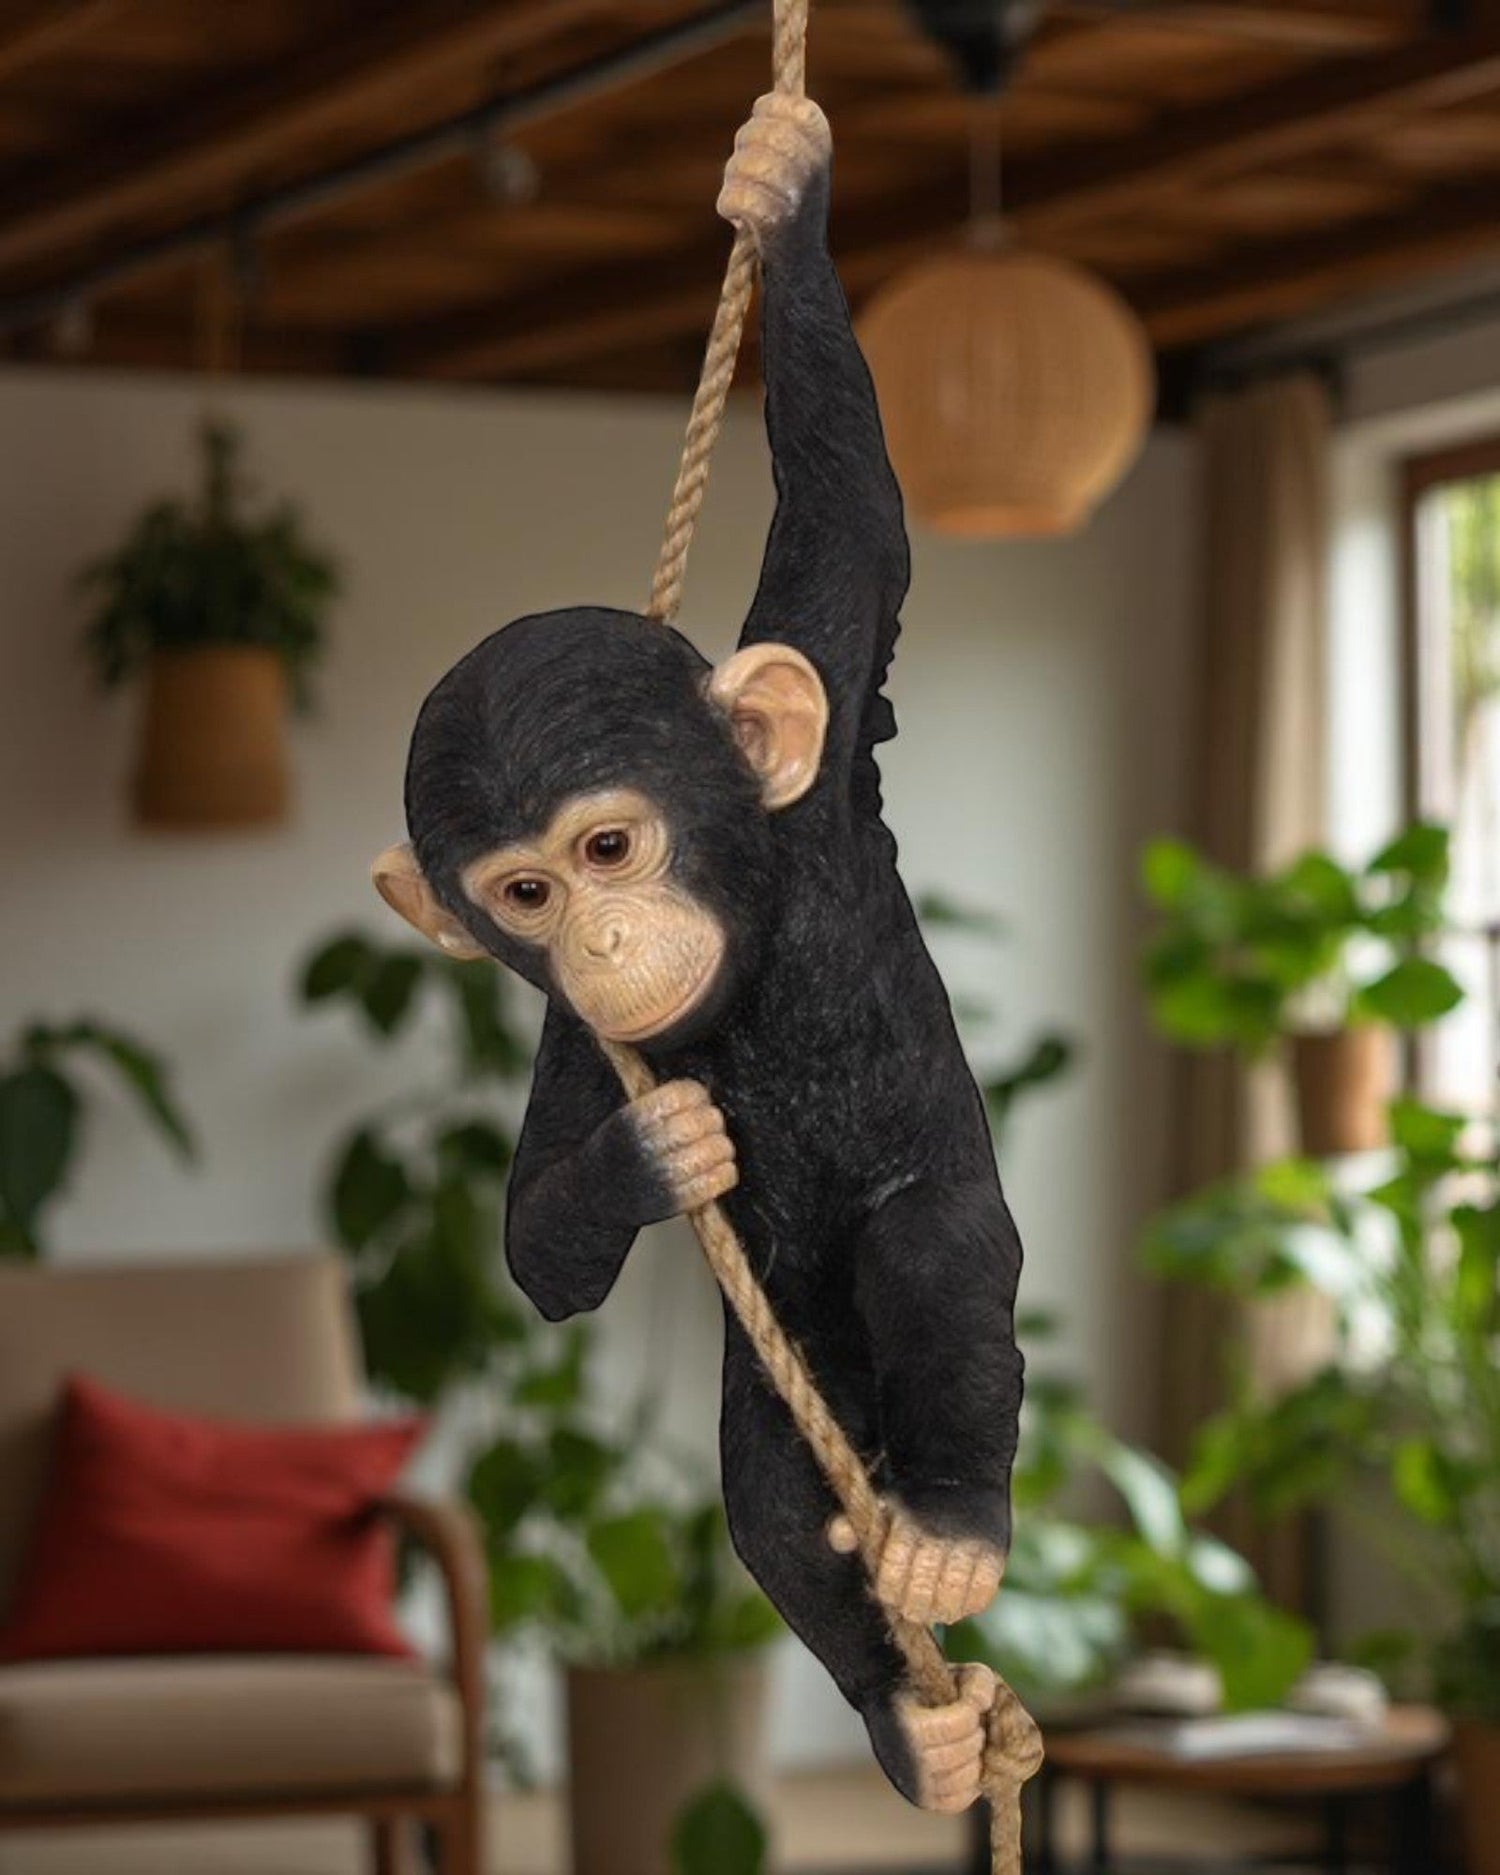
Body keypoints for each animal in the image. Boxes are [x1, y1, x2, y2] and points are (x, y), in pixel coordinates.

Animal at [373, 93, 1023, 1816]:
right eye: (526, 893)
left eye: (611, 848)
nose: (600, 932)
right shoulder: (562, 1035)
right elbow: (535, 1247)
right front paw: (655, 1155)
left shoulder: (828, 738)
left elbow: (854, 530)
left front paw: (784, 203)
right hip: (785, 1379)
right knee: (768, 1493)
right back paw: (908, 1718)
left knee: (938, 1248)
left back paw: (953, 1527)